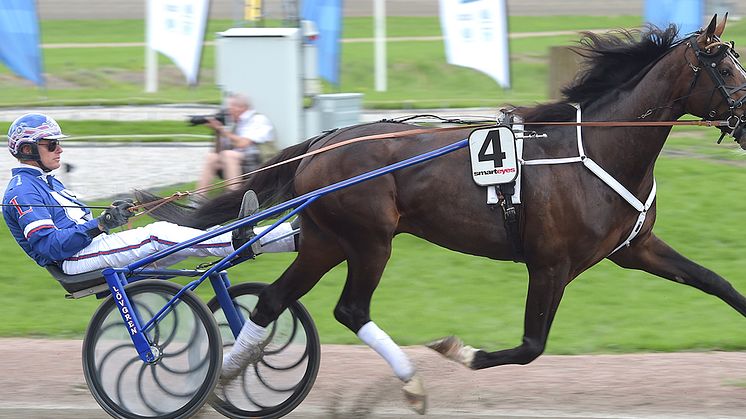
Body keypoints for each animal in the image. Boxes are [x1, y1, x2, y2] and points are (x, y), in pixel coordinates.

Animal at [145, 15, 744, 414]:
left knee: (272, 301)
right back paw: (409, 381)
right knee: (349, 308)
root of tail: (322, 143)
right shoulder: (550, 264)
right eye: (721, 64)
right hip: (369, 240)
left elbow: (717, 283)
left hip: (323, 240)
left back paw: (224, 380)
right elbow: (531, 347)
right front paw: (460, 352)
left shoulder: (636, 248)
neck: (596, 149)